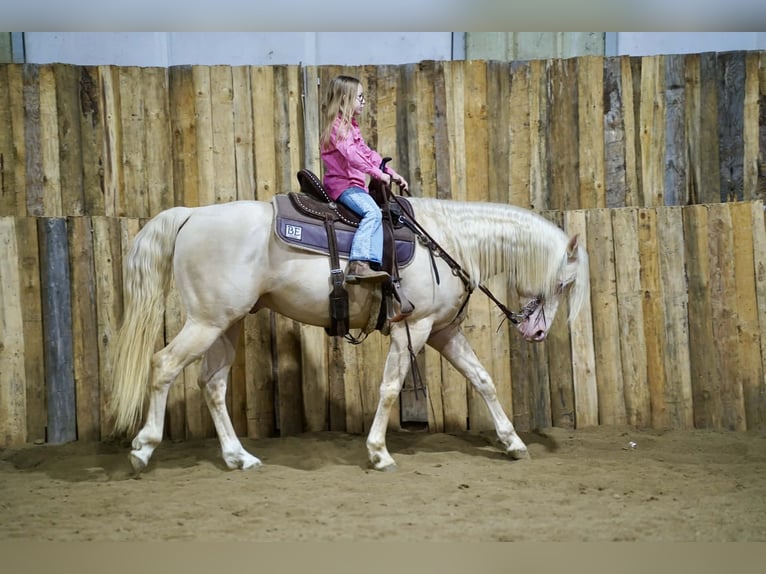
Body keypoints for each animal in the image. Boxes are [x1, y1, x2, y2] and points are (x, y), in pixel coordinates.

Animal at [109, 194, 589, 473]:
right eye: (564, 284)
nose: (537, 331)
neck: (447, 240)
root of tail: (190, 215)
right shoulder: (413, 328)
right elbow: (391, 388)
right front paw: (378, 452)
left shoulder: (443, 331)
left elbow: (483, 379)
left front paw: (513, 443)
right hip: (206, 322)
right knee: (164, 365)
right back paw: (143, 449)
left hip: (225, 324)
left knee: (211, 385)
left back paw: (237, 456)